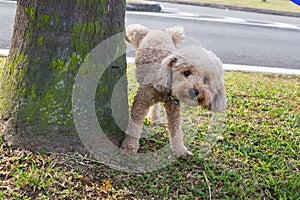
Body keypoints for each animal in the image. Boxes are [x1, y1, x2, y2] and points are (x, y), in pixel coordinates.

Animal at [120, 24, 226, 157]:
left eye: (206, 79)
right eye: (187, 72)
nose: (195, 91)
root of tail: (160, 31)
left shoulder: (174, 107)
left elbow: (176, 129)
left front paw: (180, 150)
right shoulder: (141, 100)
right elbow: (134, 125)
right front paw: (129, 147)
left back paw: (155, 118)